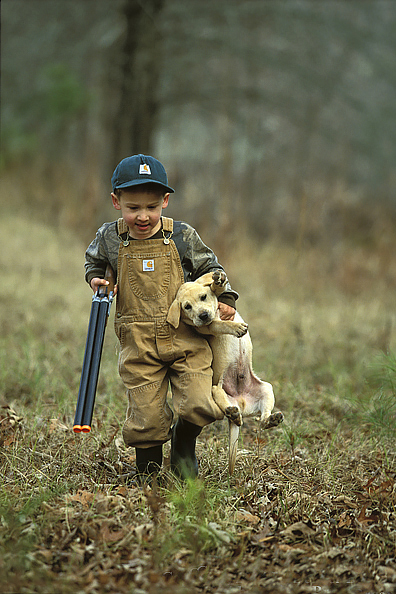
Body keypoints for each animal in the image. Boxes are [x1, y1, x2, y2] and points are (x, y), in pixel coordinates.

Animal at [166, 270, 284, 472]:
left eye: (203, 297)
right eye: (187, 307)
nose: (203, 315)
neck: (216, 312)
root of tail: (241, 402)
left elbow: (215, 288)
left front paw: (218, 281)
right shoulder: (208, 326)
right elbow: (221, 324)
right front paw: (236, 328)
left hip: (267, 388)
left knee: (263, 420)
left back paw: (270, 419)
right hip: (216, 389)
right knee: (227, 406)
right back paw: (233, 413)